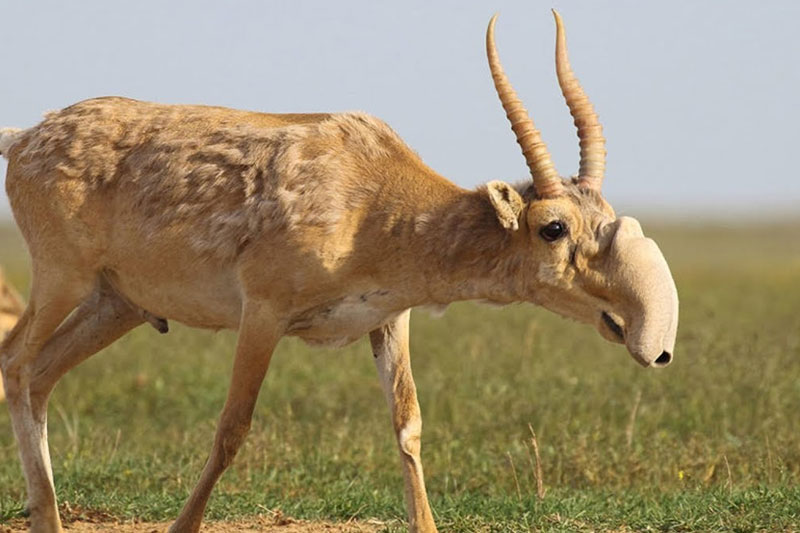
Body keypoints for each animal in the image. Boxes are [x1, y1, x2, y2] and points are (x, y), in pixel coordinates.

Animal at [0, 11, 680, 532]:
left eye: (605, 217)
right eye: (553, 227)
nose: (640, 331)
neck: (375, 200)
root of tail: (24, 137)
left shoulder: (390, 320)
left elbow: (408, 426)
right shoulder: (263, 313)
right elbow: (232, 427)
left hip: (116, 305)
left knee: (41, 376)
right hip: (61, 279)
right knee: (17, 363)